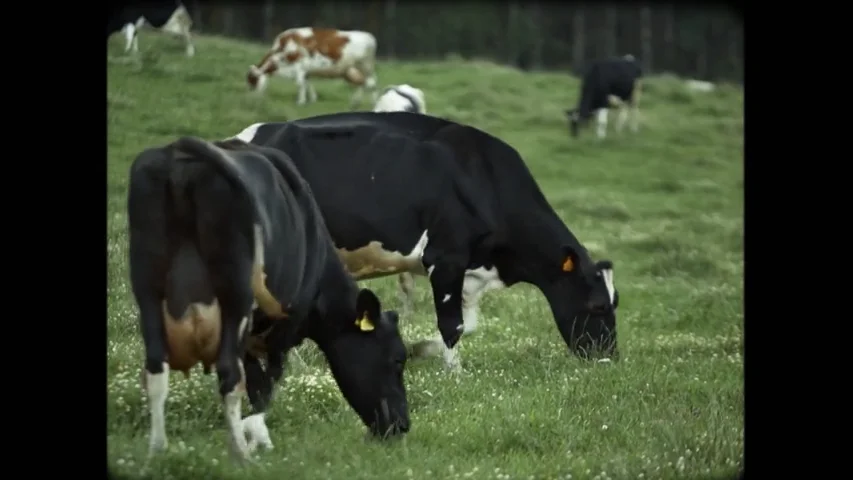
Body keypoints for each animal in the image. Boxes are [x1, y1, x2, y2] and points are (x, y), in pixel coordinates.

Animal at [128, 135, 412, 462]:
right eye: (397, 359)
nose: (402, 424)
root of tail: (182, 154)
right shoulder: (281, 330)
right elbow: (264, 387)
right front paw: (258, 434)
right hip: (235, 297)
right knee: (229, 375)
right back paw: (241, 455)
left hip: (147, 288)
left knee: (156, 368)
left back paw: (157, 450)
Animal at [230, 111, 624, 372]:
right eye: (596, 306)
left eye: (615, 302)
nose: (609, 358)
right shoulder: (445, 257)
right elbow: (453, 325)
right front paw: (454, 373)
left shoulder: (470, 270)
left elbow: (468, 324)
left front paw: (423, 351)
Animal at [246, 27, 380, 108]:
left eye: (252, 80)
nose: (251, 101)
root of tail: (368, 35)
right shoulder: (306, 70)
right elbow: (307, 83)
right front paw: (312, 100)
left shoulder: (299, 66)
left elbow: (300, 84)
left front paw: (300, 102)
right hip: (352, 70)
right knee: (361, 84)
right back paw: (354, 104)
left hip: (365, 66)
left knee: (371, 84)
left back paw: (374, 105)